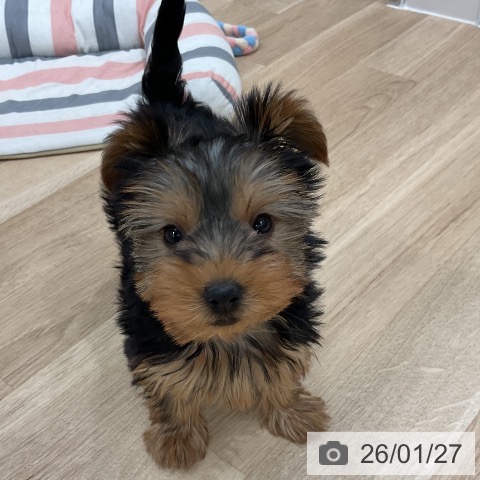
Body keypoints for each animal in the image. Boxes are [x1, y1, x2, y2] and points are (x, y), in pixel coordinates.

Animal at [101, 0, 329, 469]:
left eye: (263, 224)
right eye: (171, 234)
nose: (223, 294)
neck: (229, 341)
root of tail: (170, 102)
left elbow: (283, 364)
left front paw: (292, 411)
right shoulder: (151, 338)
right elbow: (167, 385)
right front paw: (177, 439)